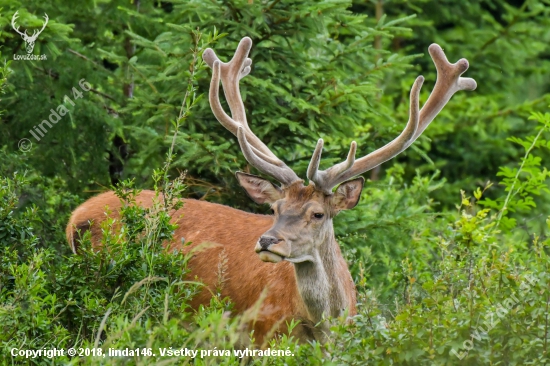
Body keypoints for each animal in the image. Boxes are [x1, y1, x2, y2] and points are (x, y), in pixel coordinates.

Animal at [67, 36, 476, 344]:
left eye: (318, 213)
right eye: (275, 210)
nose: (267, 241)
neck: (325, 324)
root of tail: (75, 218)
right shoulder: (261, 335)